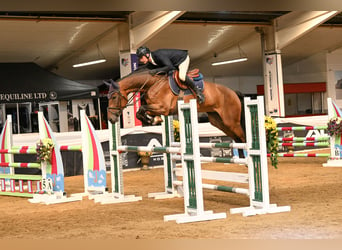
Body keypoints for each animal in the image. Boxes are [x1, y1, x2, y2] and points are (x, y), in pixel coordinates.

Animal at [107, 69, 246, 156]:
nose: (110, 119)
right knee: (237, 139)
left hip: (231, 122)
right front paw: (154, 119)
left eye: (113, 97)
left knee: (243, 138)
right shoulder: (157, 108)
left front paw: (152, 120)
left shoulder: (163, 108)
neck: (153, 84)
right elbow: (140, 112)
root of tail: (233, 92)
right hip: (219, 122)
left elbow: (141, 109)